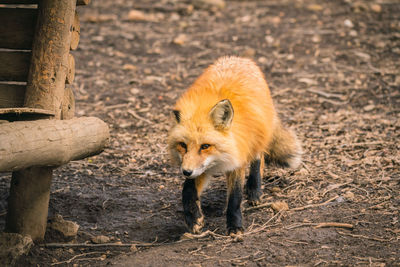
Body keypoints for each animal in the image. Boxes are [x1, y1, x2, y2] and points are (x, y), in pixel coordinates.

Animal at [167, 55, 302, 238]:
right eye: (183, 145)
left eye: (205, 146)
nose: (186, 172)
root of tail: (239, 58)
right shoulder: (201, 167)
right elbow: (187, 189)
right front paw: (194, 218)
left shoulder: (238, 157)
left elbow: (235, 198)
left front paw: (235, 225)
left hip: (257, 133)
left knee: (259, 158)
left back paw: (254, 190)